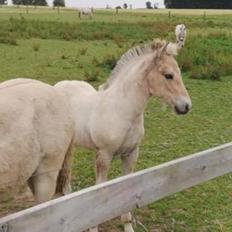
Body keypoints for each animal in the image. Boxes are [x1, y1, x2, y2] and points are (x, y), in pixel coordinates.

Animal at [55, 24, 191, 231]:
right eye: (168, 75)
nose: (186, 106)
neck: (122, 110)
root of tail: (56, 86)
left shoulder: (131, 154)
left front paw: (127, 225)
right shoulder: (104, 155)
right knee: (65, 173)